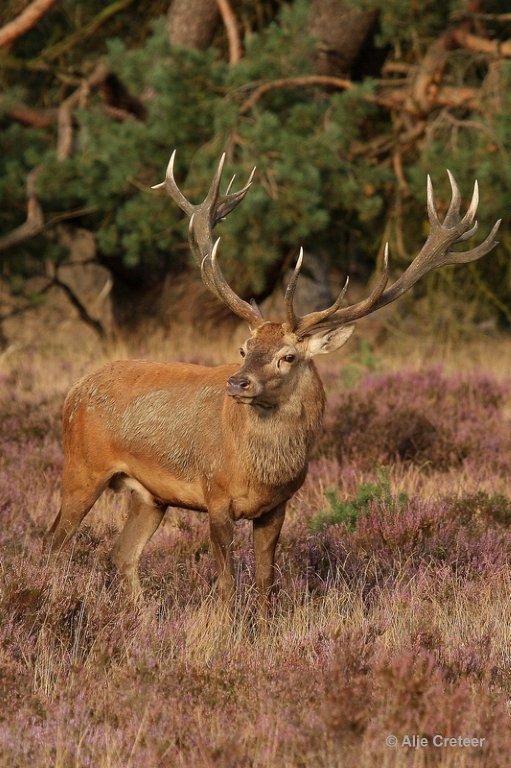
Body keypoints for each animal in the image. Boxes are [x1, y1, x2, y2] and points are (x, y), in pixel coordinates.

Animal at [49, 148, 504, 616]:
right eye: (244, 347)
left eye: (288, 356)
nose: (238, 384)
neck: (259, 472)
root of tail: (74, 391)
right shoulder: (215, 494)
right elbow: (227, 582)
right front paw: (223, 625)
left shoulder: (279, 506)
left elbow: (266, 580)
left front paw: (265, 627)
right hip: (82, 466)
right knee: (54, 541)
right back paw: (51, 593)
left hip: (149, 495)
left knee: (122, 553)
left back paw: (139, 615)